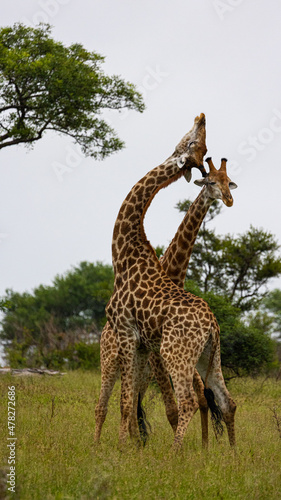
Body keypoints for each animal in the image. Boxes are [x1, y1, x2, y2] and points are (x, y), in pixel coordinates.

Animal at [104, 114, 235, 450]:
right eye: (195, 143)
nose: (201, 116)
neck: (125, 253)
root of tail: (212, 324)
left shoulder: (129, 333)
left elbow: (129, 402)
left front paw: (122, 449)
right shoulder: (140, 344)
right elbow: (130, 401)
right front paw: (133, 448)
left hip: (175, 353)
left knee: (189, 400)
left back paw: (177, 453)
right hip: (208, 356)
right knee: (225, 400)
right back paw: (232, 454)